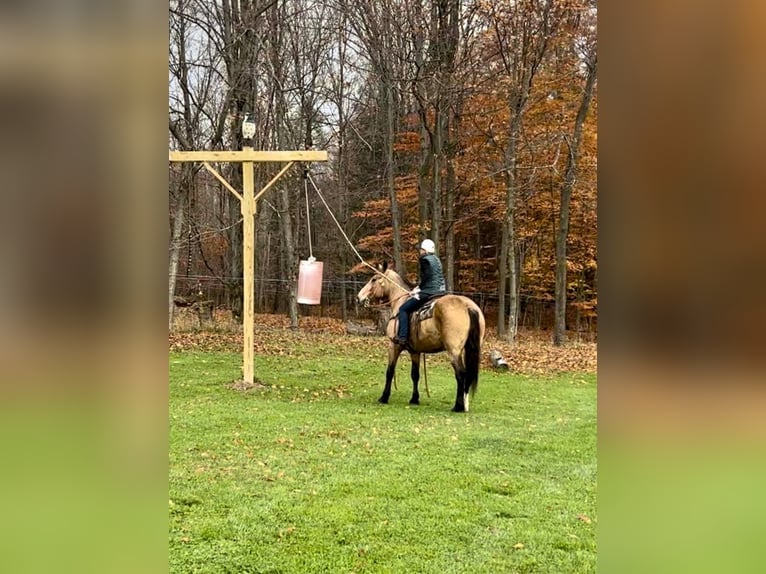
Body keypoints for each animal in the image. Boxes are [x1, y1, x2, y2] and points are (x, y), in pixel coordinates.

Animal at [358, 260, 486, 414]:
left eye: (374, 279)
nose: (359, 297)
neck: (399, 303)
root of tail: (468, 306)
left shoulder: (394, 345)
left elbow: (390, 371)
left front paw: (384, 397)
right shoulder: (415, 351)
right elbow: (415, 375)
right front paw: (414, 399)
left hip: (454, 351)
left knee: (461, 374)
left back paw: (458, 406)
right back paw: (465, 405)